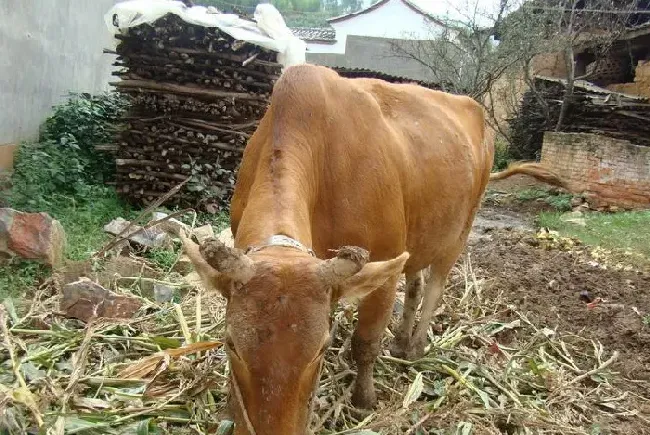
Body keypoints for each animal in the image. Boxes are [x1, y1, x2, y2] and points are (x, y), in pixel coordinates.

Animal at [180, 64, 560, 435]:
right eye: (230, 342)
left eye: (321, 349)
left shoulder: (383, 266)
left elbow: (365, 343)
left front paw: (363, 399)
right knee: (416, 282)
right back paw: (402, 340)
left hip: (460, 232)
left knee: (435, 287)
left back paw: (415, 347)